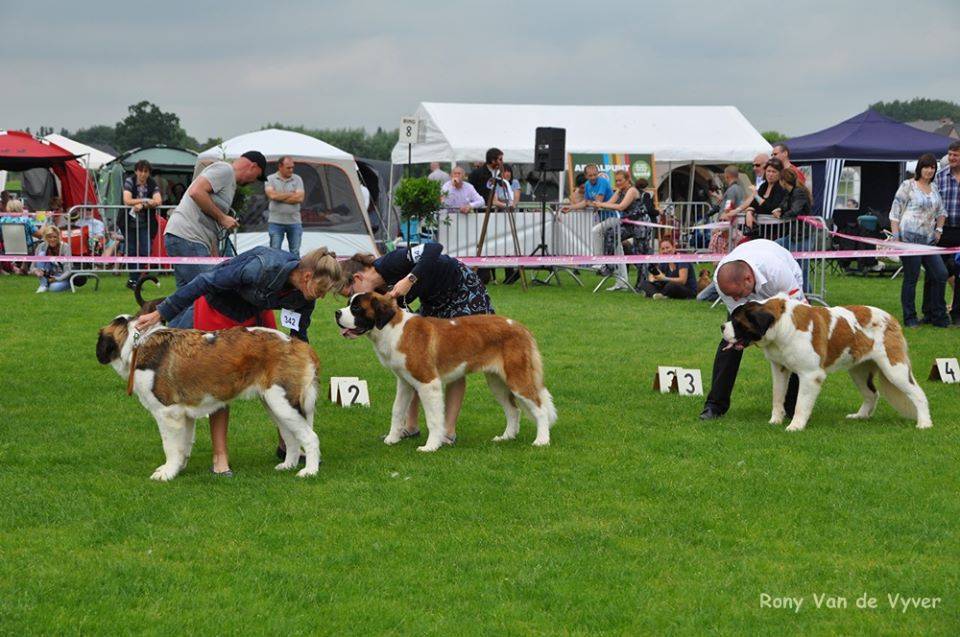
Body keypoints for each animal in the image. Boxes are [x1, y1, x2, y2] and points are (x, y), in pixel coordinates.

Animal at [96, 315, 322, 480]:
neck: (136, 343)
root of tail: (298, 344)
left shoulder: (167, 413)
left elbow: (170, 446)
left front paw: (166, 473)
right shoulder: (183, 414)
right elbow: (183, 444)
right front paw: (178, 468)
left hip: (283, 402)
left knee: (310, 437)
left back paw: (309, 471)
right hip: (275, 405)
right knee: (291, 436)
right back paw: (287, 465)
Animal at [334, 292, 557, 451]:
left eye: (356, 308)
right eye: (348, 303)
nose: (336, 313)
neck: (392, 329)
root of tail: (521, 327)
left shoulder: (428, 383)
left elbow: (433, 418)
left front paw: (431, 446)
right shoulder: (404, 383)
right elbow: (397, 411)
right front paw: (392, 438)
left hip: (517, 379)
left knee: (539, 408)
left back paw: (542, 440)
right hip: (496, 382)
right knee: (513, 410)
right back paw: (506, 437)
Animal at [722, 295, 931, 431]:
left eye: (737, 322)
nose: (722, 326)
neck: (781, 325)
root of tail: (892, 319)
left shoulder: (810, 375)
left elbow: (801, 403)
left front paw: (795, 425)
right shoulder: (779, 368)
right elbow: (777, 396)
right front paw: (775, 420)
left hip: (894, 368)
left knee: (918, 393)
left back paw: (924, 423)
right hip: (859, 371)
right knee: (872, 394)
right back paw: (860, 416)